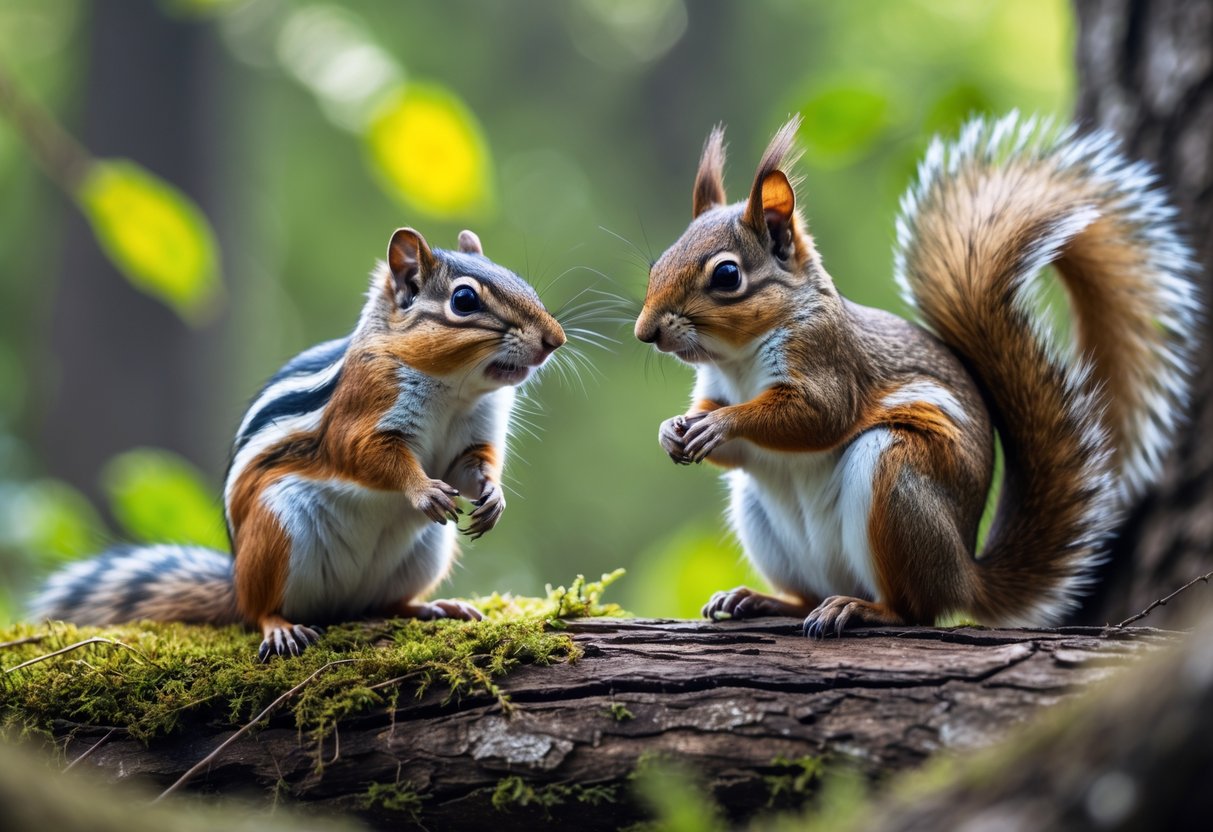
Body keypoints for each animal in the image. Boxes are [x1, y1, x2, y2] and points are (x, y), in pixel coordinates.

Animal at [31, 227, 566, 660]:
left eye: (518, 279)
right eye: (464, 301)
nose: (554, 339)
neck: (456, 389)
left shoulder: (475, 435)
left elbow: (475, 466)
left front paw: (493, 498)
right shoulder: (360, 413)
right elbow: (370, 456)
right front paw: (423, 490)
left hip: (424, 554)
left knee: (386, 603)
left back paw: (435, 607)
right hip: (275, 532)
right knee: (259, 610)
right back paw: (281, 627)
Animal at [635, 113, 1199, 636]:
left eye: (727, 275)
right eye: (656, 265)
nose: (645, 332)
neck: (739, 361)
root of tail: (965, 574)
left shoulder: (828, 359)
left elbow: (817, 416)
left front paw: (722, 423)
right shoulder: (715, 386)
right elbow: (729, 443)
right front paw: (671, 430)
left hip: (898, 481)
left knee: (916, 610)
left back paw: (862, 609)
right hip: (762, 516)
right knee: (807, 593)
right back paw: (762, 600)